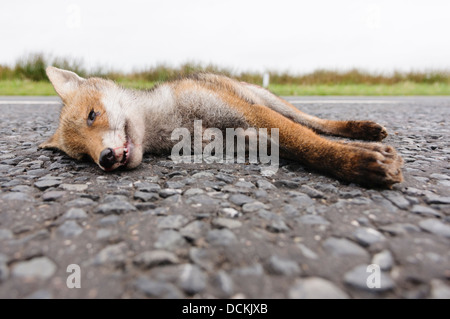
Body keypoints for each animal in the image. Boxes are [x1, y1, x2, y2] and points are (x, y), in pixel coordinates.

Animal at [40, 66, 402, 189]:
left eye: (92, 115)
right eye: (82, 157)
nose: (105, 158)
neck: (177, 122)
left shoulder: (251, 114)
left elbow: (310, 144)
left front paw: (358, 163)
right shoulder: (244, 139)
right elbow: (301, 145)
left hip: (270, 102)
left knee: (315, 123)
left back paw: (362, 129)